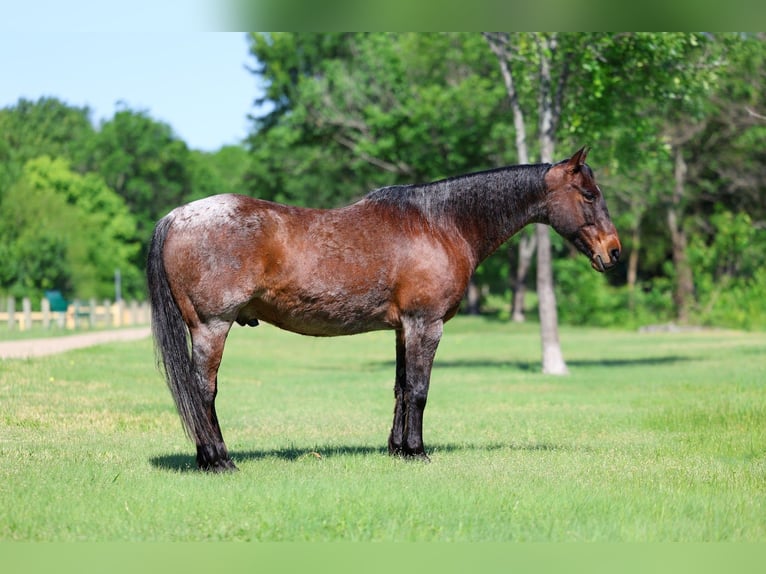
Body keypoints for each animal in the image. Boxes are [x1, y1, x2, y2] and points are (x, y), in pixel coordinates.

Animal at [147, 146, 621, 472]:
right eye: (588, 194)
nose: (614, 252)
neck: (440, 223)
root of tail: (177, 216)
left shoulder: (402, 328)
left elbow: (400, 388)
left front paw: (397, 450)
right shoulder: (426, 325)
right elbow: (420, 390)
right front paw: (417, 451)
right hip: (212, 327)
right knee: (202, 390)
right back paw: (218, 460)